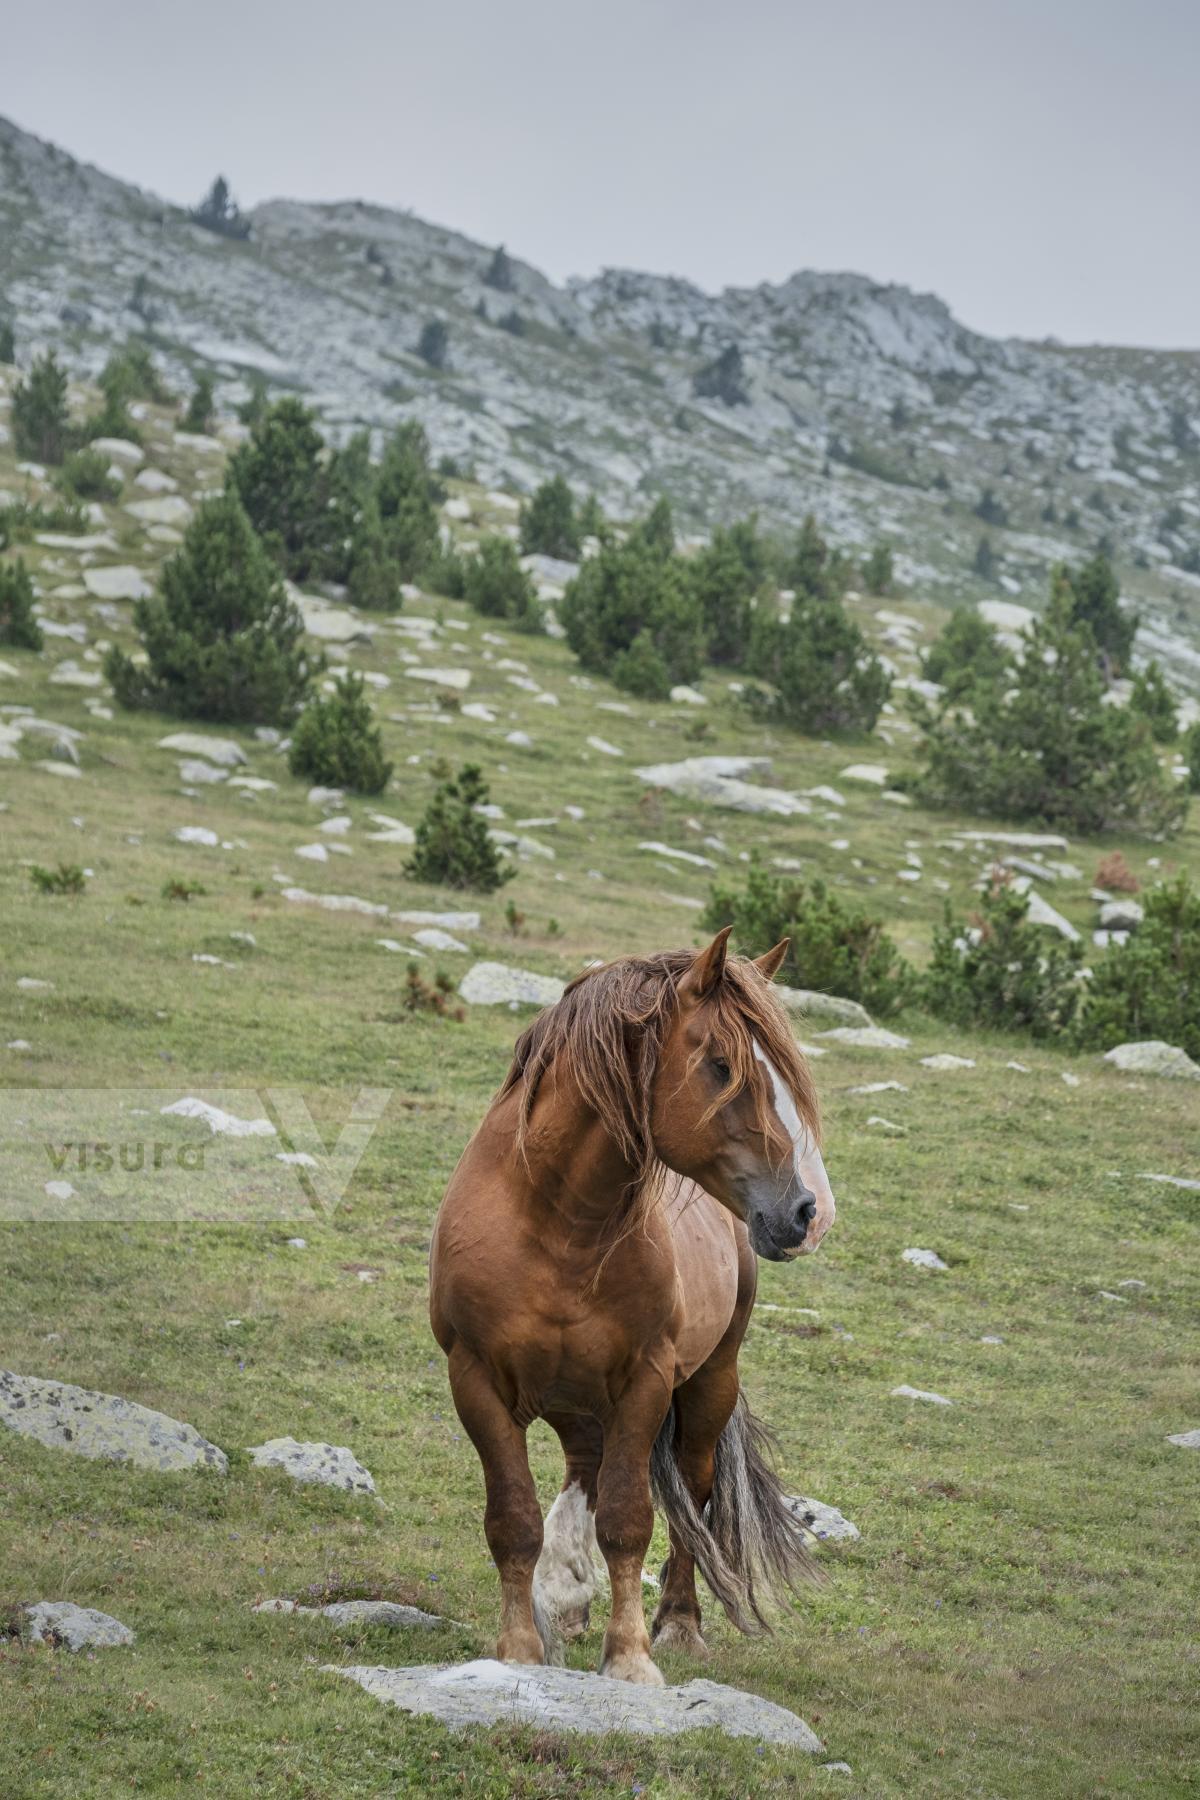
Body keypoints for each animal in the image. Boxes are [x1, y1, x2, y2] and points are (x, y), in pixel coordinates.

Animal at [429, 928, 834, 1684]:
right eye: (720, 1065)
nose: (805, 1212)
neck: (558, 1221)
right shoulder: (474, 1379)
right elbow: (512, 1520)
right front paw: (521, 1647)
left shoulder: (647, 1379)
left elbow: (628, 1520)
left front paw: (630, 1656)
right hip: (575, 1396)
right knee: (580, 1471)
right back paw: (564, 1599)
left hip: (706, 1385)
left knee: (691, 1499)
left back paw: (677, 1621)